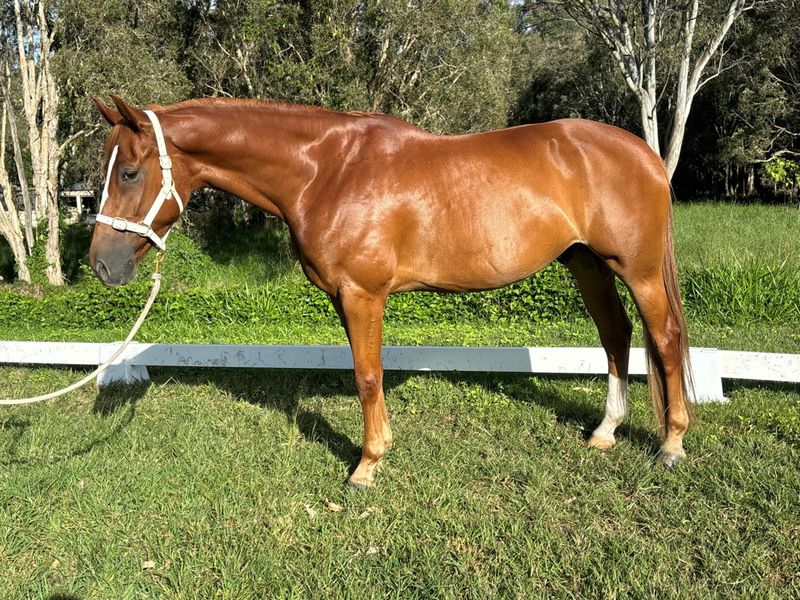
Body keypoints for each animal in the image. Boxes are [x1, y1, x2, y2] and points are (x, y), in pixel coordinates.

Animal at [90, 95, 692, 489]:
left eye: (129, 172)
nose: (101, 264)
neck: (326, 170)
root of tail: (644, 153)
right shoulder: (343, 297)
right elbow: (364, 372)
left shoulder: (363, 294)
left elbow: (367, 375)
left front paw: (367, 465)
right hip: (587, 264)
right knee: (616, 335)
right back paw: (606, 432)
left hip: (636, 271)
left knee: (662, 339)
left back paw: (671, 444)